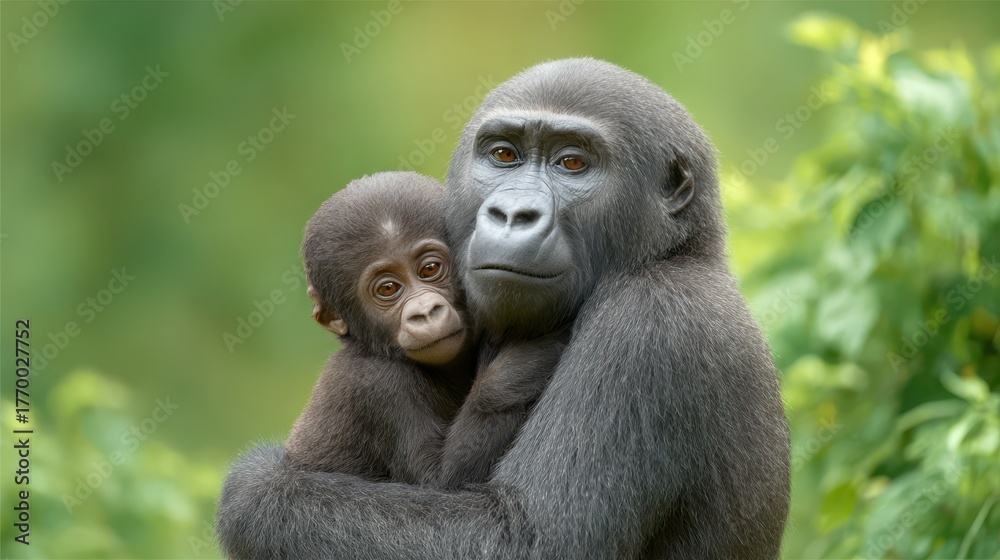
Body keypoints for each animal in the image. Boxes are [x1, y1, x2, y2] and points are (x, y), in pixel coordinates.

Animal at [218, 58, 790, 560]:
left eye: (572, 163)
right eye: (504, 155)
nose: (513, 214)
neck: (681, 250)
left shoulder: (654, 319)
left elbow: (524, 538)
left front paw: (256, 493)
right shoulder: (379, 385)